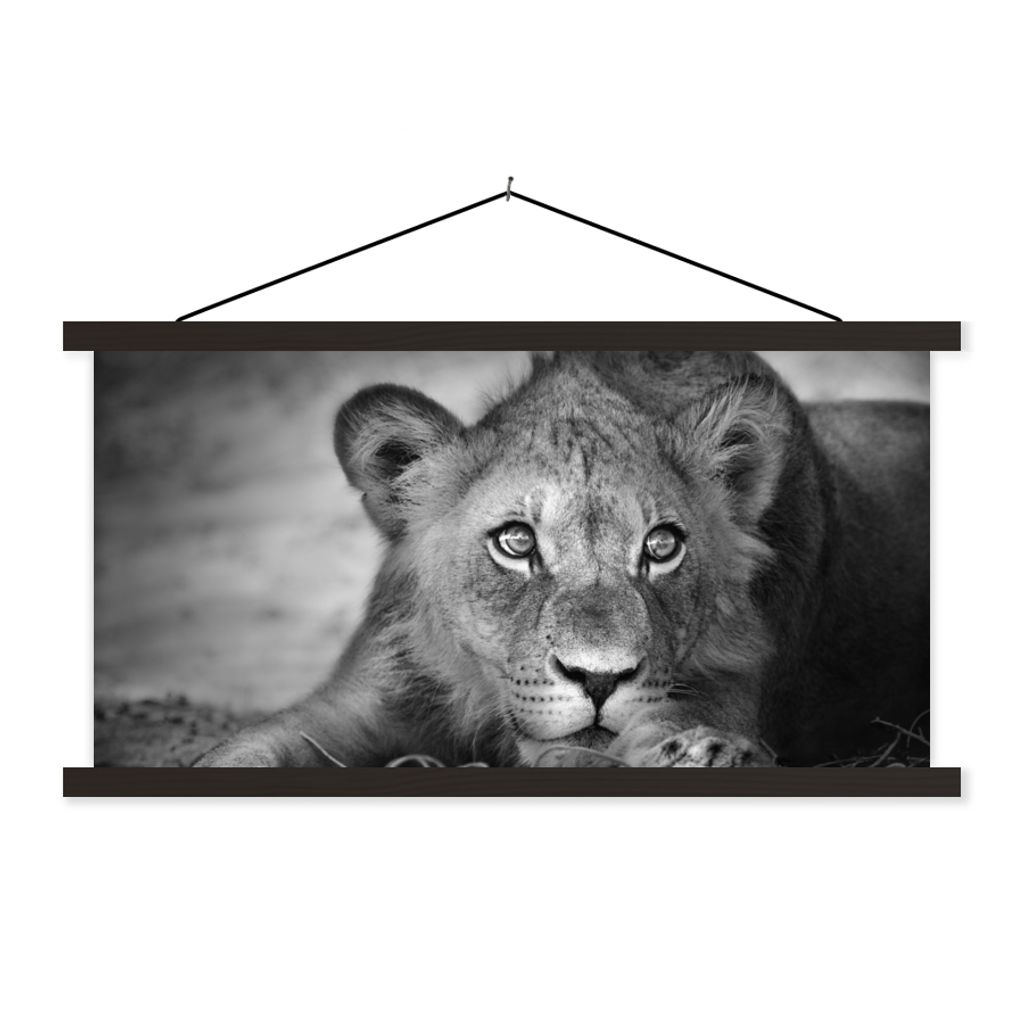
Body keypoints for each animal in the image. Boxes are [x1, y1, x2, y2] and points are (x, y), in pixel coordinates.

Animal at [195, 350, 929, 768]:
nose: (599, 680)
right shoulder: (366, 697)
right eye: (516, 542)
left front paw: (703, 755)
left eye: (662, 546)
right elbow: (241, 751)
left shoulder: (728, 690)